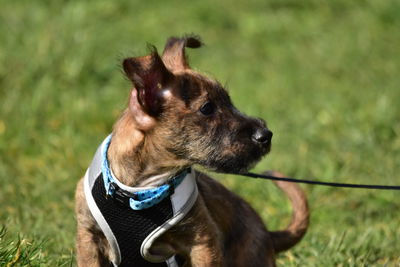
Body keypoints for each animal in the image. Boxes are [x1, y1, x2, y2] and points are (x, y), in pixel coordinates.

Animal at [76, 35, 310, 267]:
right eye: (207, 108)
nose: (266, 135)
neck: (140, 188)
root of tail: (267, 233)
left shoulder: (202, 242)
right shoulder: (88, 239)